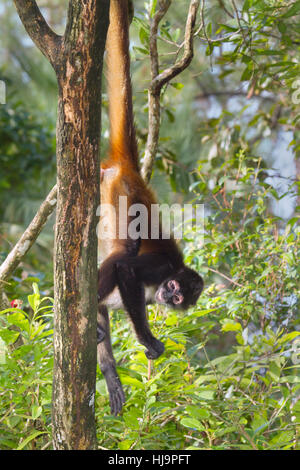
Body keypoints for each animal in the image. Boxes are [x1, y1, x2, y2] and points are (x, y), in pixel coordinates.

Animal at [98, 0, 204, 416]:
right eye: (172, 286)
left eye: (178, 298)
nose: (168, 296)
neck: (166, 277)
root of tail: (133, 172)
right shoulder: (159, 266)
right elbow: (126, 268)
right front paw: (148, 340)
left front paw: (111, 374)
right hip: (121, 191)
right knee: (119, 257)